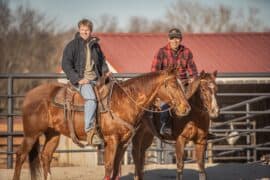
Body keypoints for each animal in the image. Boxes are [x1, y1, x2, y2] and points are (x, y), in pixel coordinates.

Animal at [12, 68, 190, 180]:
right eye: (173, 85)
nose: (186, 108)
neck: (122, 102)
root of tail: (29, 95)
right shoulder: (111, 141)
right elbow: (109, 168)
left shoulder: (123, 143)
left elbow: (116, 171)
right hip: (31, 134)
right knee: (20, 156)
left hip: (53, 134)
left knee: (45, 157)